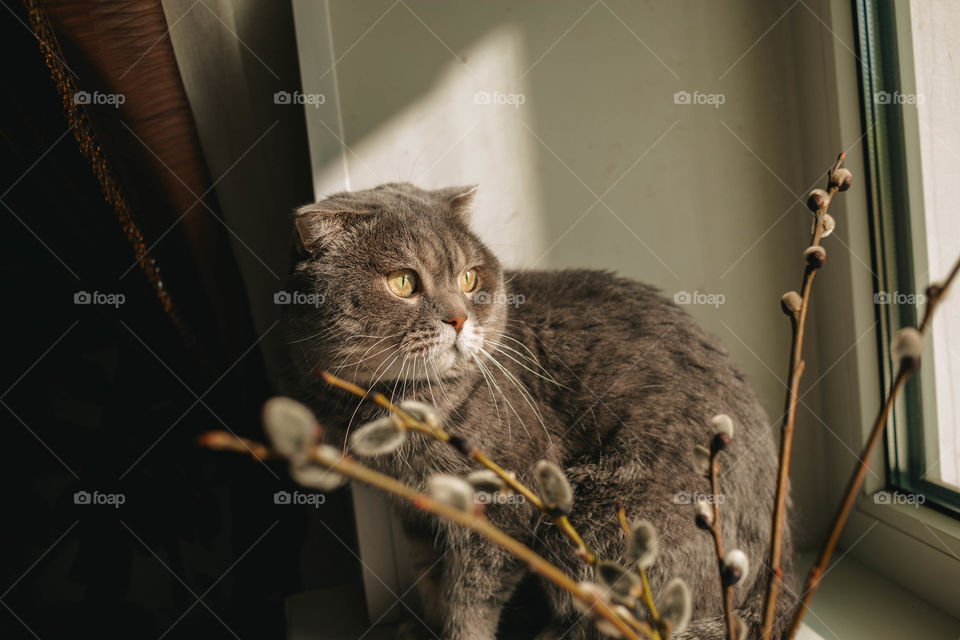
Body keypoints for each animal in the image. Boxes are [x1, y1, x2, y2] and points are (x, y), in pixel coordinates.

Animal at [284, 182, 796, 636]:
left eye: (469, 278)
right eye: (402, 281)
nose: (459, 318)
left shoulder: (500, 504)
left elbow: (470, 597)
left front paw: (458, 633)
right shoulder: (413, 510)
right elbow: (429, 578)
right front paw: (425, 626)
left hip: (593, 520)